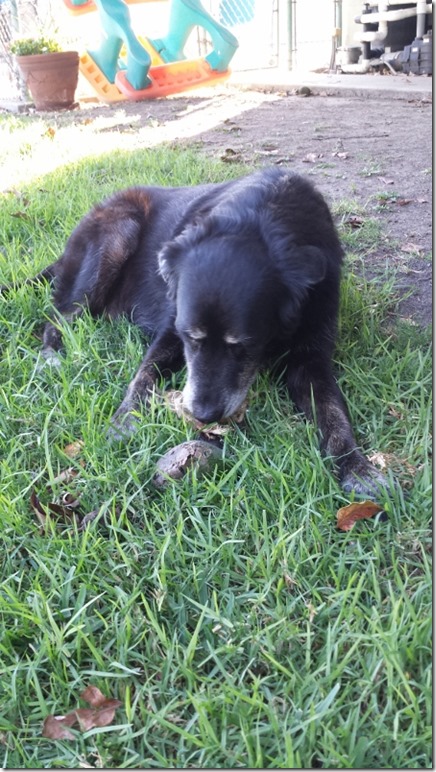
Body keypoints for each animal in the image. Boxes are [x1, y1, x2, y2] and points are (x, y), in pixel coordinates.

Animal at [12, 167, 388, 494]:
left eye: (243, 347)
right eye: (191, 339)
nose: (204, 416)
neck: (261, 217)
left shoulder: (311, 356)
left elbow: (333, 412)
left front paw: (356, 466)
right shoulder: (171, 328)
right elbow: (144, 374)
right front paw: (127, 418)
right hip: (117, 234)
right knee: (58, 317)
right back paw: (50, 357)